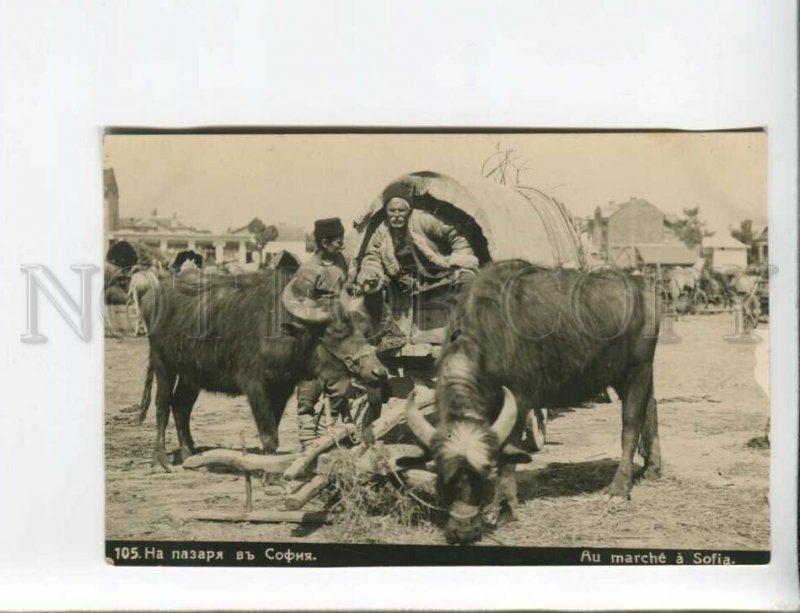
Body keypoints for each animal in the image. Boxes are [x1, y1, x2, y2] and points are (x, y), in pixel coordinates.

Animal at [139, 268, 390, 468]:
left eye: (361, 330)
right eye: (337, 332)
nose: (379, 372)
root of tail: (154, 292)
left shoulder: (281, 389)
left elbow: (274, 431)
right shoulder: (255, 387)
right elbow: (269, 435)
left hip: (192, 374)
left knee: (181, 406)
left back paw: (188, 453)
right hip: (163, 364)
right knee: (162, 406)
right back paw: (159, 459)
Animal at [406, 260, 664, 544]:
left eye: (481, 475)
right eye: (444, 477)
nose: (463, 530)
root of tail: (642, 285)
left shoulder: (520, 401)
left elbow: (509, 455)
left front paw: (504, 507)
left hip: (636, 371)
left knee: (631, 425)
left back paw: (618, 488)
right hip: (627, 375)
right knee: (652, 409)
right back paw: (652, 468)